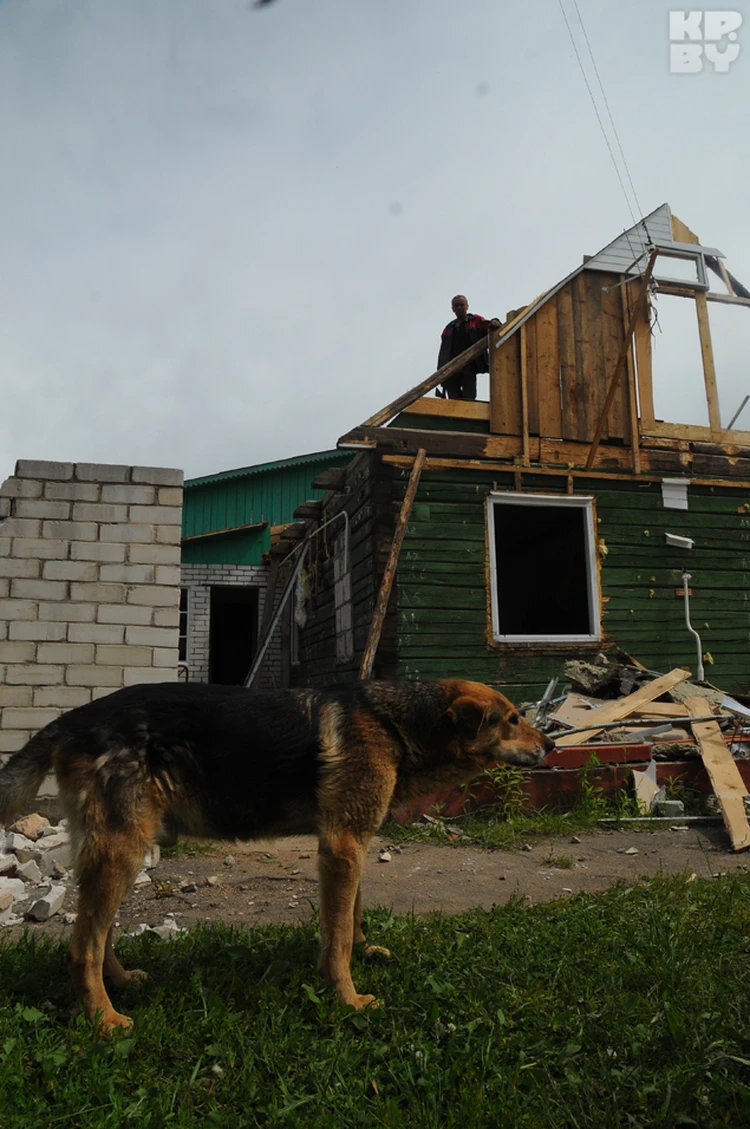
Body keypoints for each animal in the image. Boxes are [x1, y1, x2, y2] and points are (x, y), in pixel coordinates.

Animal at [0, 677, 551, 1034]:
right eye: (512, 720)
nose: (548, 744)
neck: (395, 722)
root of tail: (72, 718)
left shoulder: (351, 845)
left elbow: (353, 917)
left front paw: (364, 953)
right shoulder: (342, 846)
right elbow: (336, 937)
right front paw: (347, 998)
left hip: (120, 850)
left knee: (99, 931)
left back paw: (119, 982)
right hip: (122, 849)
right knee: (81, 946)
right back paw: (104, 1018)